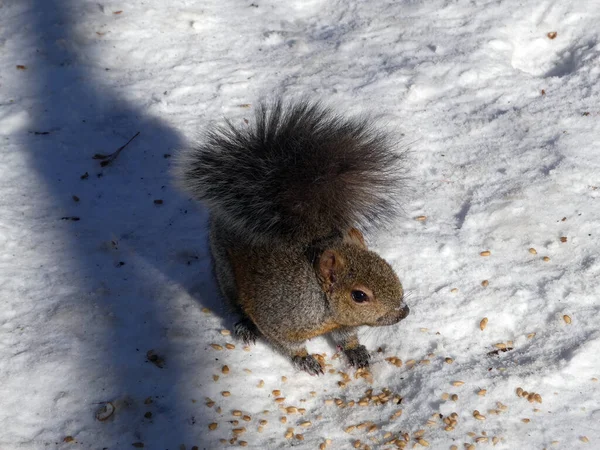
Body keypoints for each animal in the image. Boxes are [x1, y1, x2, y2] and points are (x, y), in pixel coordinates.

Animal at [176, 100, 410, 374]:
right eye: (359, 296)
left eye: (388, 267)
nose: (403, 312)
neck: (317, 299)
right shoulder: (274, 317)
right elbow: (285, 343)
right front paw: (304, 359)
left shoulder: (341, 323)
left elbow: (346, 335)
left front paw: (355, 350)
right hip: (225, 268)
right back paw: (244, 325)